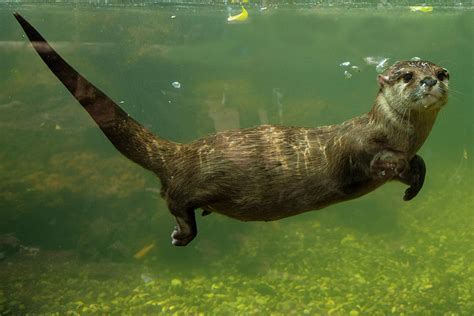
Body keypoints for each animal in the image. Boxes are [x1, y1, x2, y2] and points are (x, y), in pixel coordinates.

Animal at [13, 12, 448, 247]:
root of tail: (180, 152)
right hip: (188, 182)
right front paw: (404, 171)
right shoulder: (361, 148)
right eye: (407, 76)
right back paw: (182, 234)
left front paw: (414, 184)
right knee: (173, 200)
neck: (395, 133)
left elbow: (418, 162)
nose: (431, 81)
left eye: (442, 71)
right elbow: (382, 163)